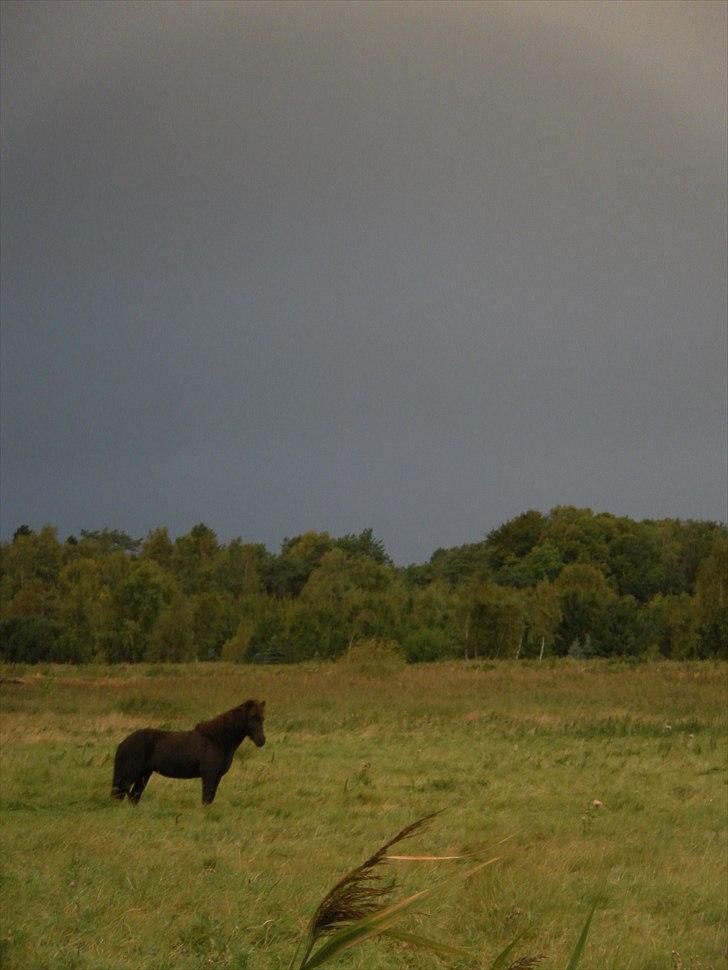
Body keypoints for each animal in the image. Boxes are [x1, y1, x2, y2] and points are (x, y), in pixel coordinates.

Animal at [111, 696, 264, 800]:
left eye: (262, 718)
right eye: (252, 716)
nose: (261, 740)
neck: (217, 740)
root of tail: (123, 743)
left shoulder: (217, 777)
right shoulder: (209, 775)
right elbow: (206, 799)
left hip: (143, 775)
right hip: (129, 775)